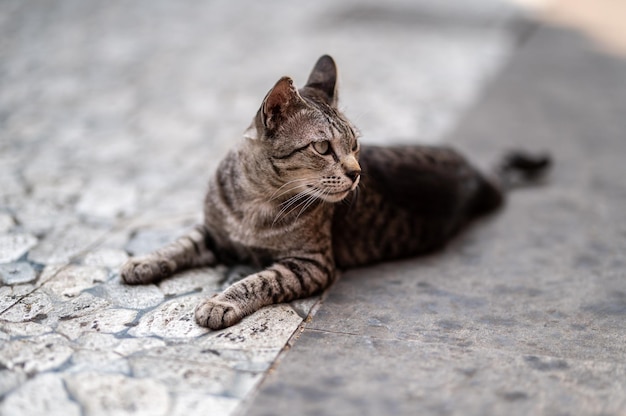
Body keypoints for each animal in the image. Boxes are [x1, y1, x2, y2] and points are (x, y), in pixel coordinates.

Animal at [118, 54, 544, 328]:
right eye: (323, 147)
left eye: (355, 145)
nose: (356, 173)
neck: (255, 201)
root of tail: (475, 171)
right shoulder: (214, 232)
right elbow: (179, 244)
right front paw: (143, 261)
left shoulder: (311, 264)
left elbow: (257, 280)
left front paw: (220, 301)